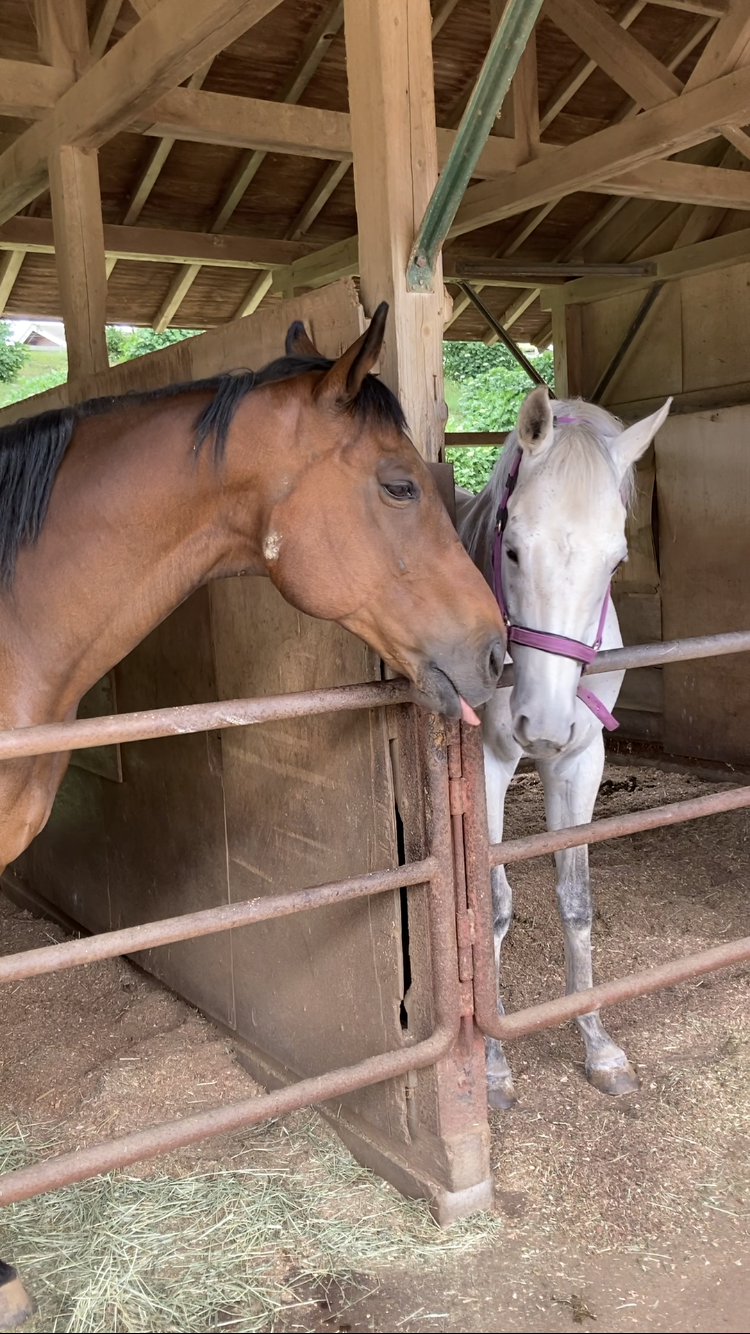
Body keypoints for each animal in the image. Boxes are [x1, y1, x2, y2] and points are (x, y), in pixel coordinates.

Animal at [457, 384, 671, 1109]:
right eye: (514, 548)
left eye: (617, 560)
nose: (543, 724)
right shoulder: (488, 763)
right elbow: (492, 908)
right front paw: (492, 1065)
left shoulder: (581, 761)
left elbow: (576, 901)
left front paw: (599, 1047)